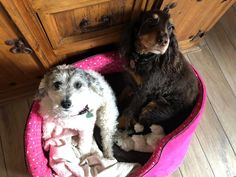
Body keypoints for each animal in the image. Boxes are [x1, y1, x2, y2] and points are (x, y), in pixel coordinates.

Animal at [118, 2, 199, 133]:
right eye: (151, 20)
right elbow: (123, 93)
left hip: (152, 109)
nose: (164, 41)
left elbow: (130, 109)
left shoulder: (143, 91)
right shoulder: (130, 80)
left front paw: (121, 123)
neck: (145, 58)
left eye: (171, 27)